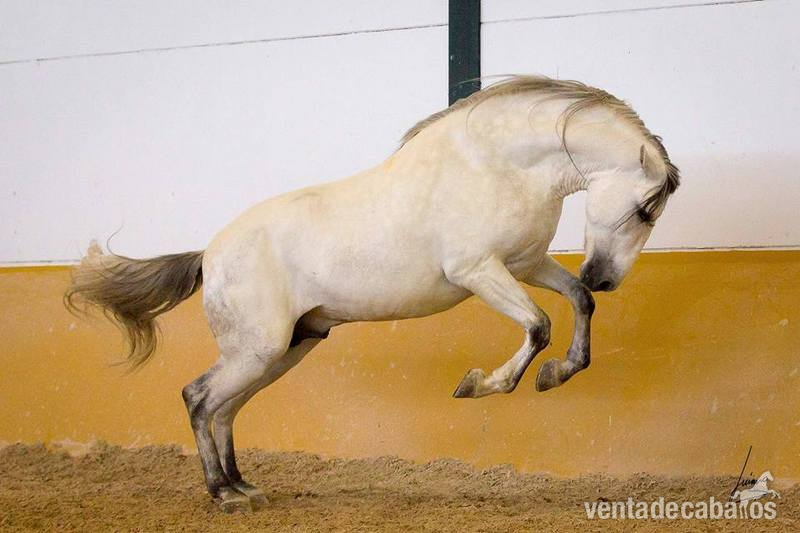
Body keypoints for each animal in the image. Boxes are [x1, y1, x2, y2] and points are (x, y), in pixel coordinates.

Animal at [65, 75, 680, 512]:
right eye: (644, 210)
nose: (606, 275)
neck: (500, 165)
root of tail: (209, 255)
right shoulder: (479, 271)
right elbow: (538, 325)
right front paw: (479, 385)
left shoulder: (524, 263)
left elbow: (576, 302)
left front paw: (557, 372)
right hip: (257, 351)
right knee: (198, 398)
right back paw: (221, 494)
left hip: (283, 350)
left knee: (223, 408)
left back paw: (244, 487)